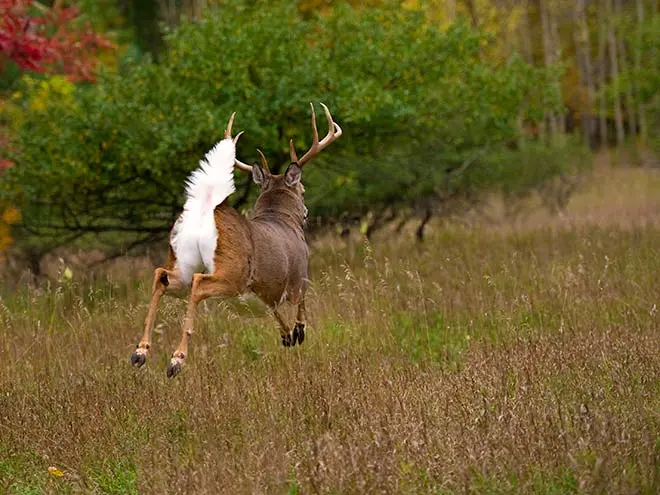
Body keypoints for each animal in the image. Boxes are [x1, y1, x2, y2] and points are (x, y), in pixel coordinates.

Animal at [131, 102, 342, 378]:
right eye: (303, 190)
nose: (306, 213)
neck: (280, 217)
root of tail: (205, 215)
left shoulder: (266, 290)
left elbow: (273, 309)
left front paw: (286, 335)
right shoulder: (299, 276)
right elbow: (300, 306)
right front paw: (298, 331)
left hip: (183, 259)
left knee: (161, 276)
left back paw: (140, 351)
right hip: (234, 271)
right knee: (198, 283)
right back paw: (176, 359)